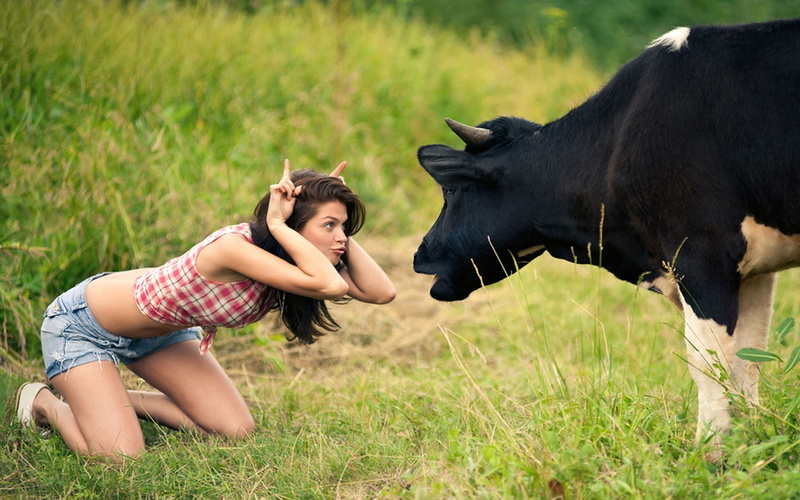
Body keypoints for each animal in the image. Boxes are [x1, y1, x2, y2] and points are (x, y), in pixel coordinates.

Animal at [413, 18, 800, 456]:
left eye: (449, 190)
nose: (419, 254)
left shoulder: (702, 253)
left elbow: (708, 361)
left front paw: (711, 452)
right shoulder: (752, 269)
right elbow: (748, 358)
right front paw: (750, 442)